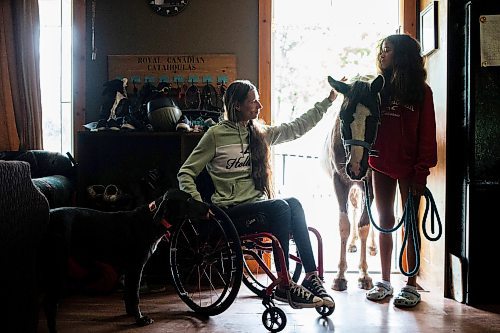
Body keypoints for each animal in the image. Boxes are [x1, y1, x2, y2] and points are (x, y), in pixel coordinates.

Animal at [40, 188, 209, 330]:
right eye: (188, 200)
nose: (208, 206)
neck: (151, 219)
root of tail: (47, 215)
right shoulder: (136, 268)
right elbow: (135, 296)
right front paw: (140, 319)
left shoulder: (128, 270)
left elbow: (128, 295)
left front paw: (131, 314)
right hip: (57, 267)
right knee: (50, 306)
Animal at [322, 74, 384, 290]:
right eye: (342, 117)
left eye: (374, 119)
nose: (356, 167)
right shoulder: (339, 182)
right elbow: (345, 225)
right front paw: (340, 274)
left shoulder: (370, 184)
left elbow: (364, 224)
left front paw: (364, 273)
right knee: (355, 207)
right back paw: (352, 244)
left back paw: (372, 246)